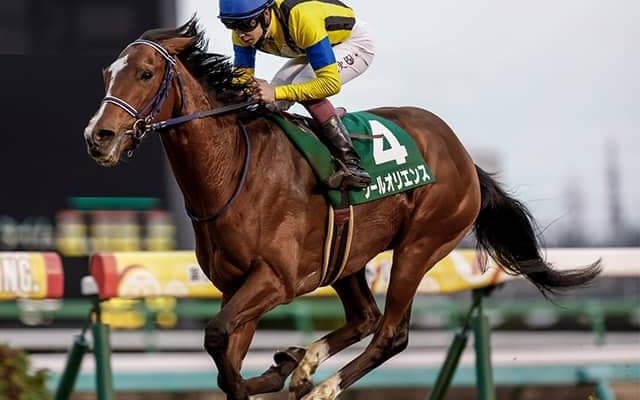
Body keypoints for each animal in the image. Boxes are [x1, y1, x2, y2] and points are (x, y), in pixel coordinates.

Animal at [83, 18, 601, 400]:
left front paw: (261, 380)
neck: (231, 172)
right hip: (349, 255)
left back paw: (321, 386)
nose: (98, 136)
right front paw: (273, 370)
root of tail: (464, 157)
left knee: (390, 331)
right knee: (365, 317)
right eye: (107, 74)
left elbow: (216, 337)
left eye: (146, 73)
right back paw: (299, 364)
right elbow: (224, 351)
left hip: (421, 244)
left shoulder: (276, 279)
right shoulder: (237, 286)